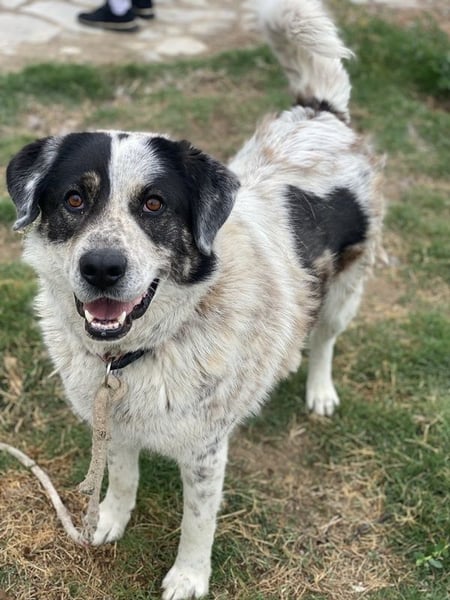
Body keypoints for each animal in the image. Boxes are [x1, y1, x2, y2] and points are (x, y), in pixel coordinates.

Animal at [6, 0, 383, 597]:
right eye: (74, 199)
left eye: (155, 204)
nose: (102, 269)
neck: (135, 354)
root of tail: (321, 113)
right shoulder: (115, 421)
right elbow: (124, 477)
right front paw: (109, 520)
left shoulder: (206, 449)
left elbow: (197, 520)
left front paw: (188, 577)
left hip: (347, 287)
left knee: (324, 338)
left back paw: (320, 389)